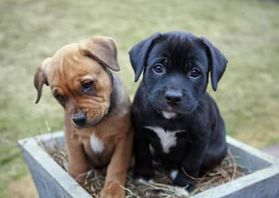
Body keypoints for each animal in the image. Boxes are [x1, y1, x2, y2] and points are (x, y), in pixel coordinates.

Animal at [34, 36, 135, 197]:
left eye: (87, 84)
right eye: (59, 96)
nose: (78, 120)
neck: (97, 125)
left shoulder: (124, 138)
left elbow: (116, 166)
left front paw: (112, 190)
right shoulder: (72, 138)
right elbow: (77, 163)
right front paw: (76, 182)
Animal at [130, 31, 229, 191]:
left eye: (195, 72)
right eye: (158, 68)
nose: (173, 97)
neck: (168, 119)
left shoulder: (199, 140)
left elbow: (191, 163)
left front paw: (183, 185)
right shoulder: (139, 131)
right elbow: (143, 154)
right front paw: (143, 176)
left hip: (215, 151)